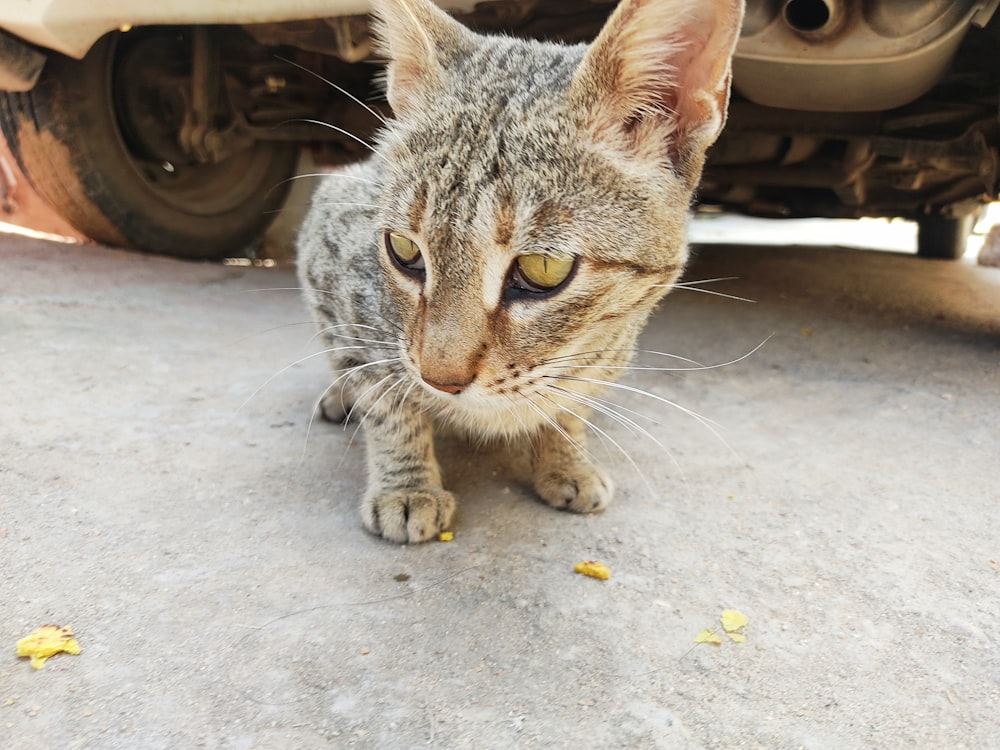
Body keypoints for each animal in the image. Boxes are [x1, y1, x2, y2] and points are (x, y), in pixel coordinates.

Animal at [296, 0, 744, 544]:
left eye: (544, 269)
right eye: (403, 249)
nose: (439, 379)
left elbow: (571, 404)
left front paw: (566, 459)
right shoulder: (343, 275)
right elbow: (388, 400)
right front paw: (408, 486)